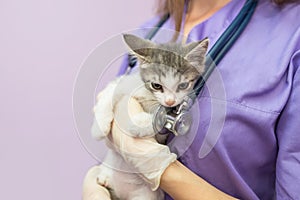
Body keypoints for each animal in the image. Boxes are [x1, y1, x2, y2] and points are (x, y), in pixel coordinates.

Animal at [91, 33, 209, 199]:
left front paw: (139, 124)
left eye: (183, 85)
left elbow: (159, 125)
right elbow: (110, 93)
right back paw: (105, 177)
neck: (149, 98)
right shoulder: (125, 83)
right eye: (156, 85)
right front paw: (99, 127)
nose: (170, 101)